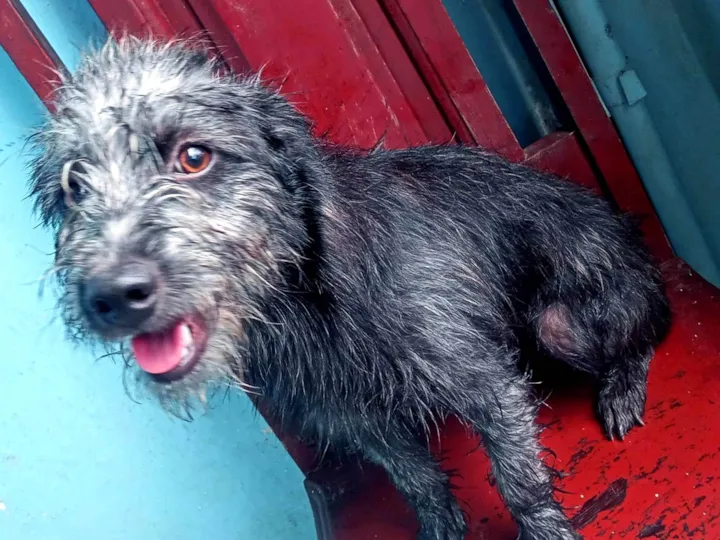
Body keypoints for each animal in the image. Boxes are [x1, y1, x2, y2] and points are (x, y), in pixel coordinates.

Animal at [28, 38, 671, 540]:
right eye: (73, 187)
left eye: (193, 157)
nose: (110, 296)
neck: (304, 303)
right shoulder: (351, 417)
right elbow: (416, 479)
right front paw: (440, 526)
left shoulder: (482, 382)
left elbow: (519, 481)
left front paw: (545, 529)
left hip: (562, 322)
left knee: (643, 337)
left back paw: (622, 387)